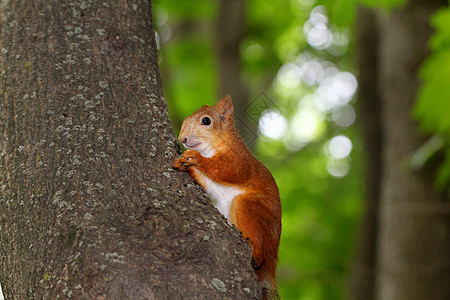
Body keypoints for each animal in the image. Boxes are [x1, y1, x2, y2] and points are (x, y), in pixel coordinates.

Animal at [172, 95, 282, 298]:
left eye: (206, 121)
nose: (182, 139)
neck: (211, 148)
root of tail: (272, 264)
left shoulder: (240, 160)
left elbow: (226, 170)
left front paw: (196, 158)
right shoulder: (210, 182)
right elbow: (206, 181)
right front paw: (183, 164)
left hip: (250, 208)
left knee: (260, 250)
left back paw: (256, 253)